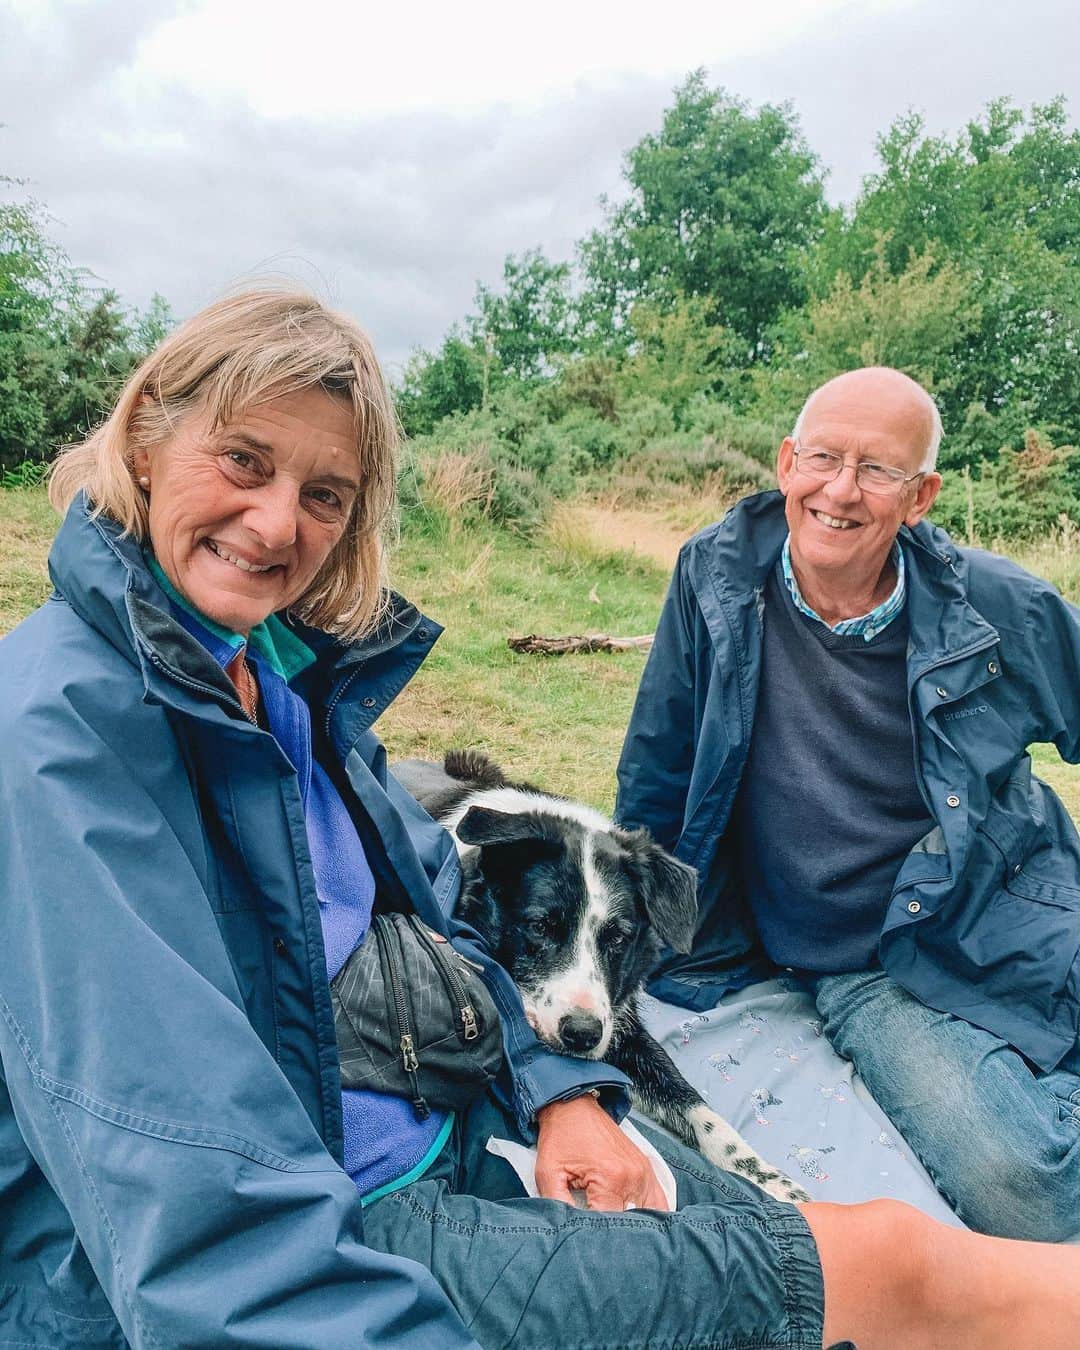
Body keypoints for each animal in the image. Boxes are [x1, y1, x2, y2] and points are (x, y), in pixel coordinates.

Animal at [396, 750, 810, 1204]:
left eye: (618, 937)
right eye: (540, 926)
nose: (582, 1035)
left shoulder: (621, 1026)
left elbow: (698, 1108)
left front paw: (776, 1183)